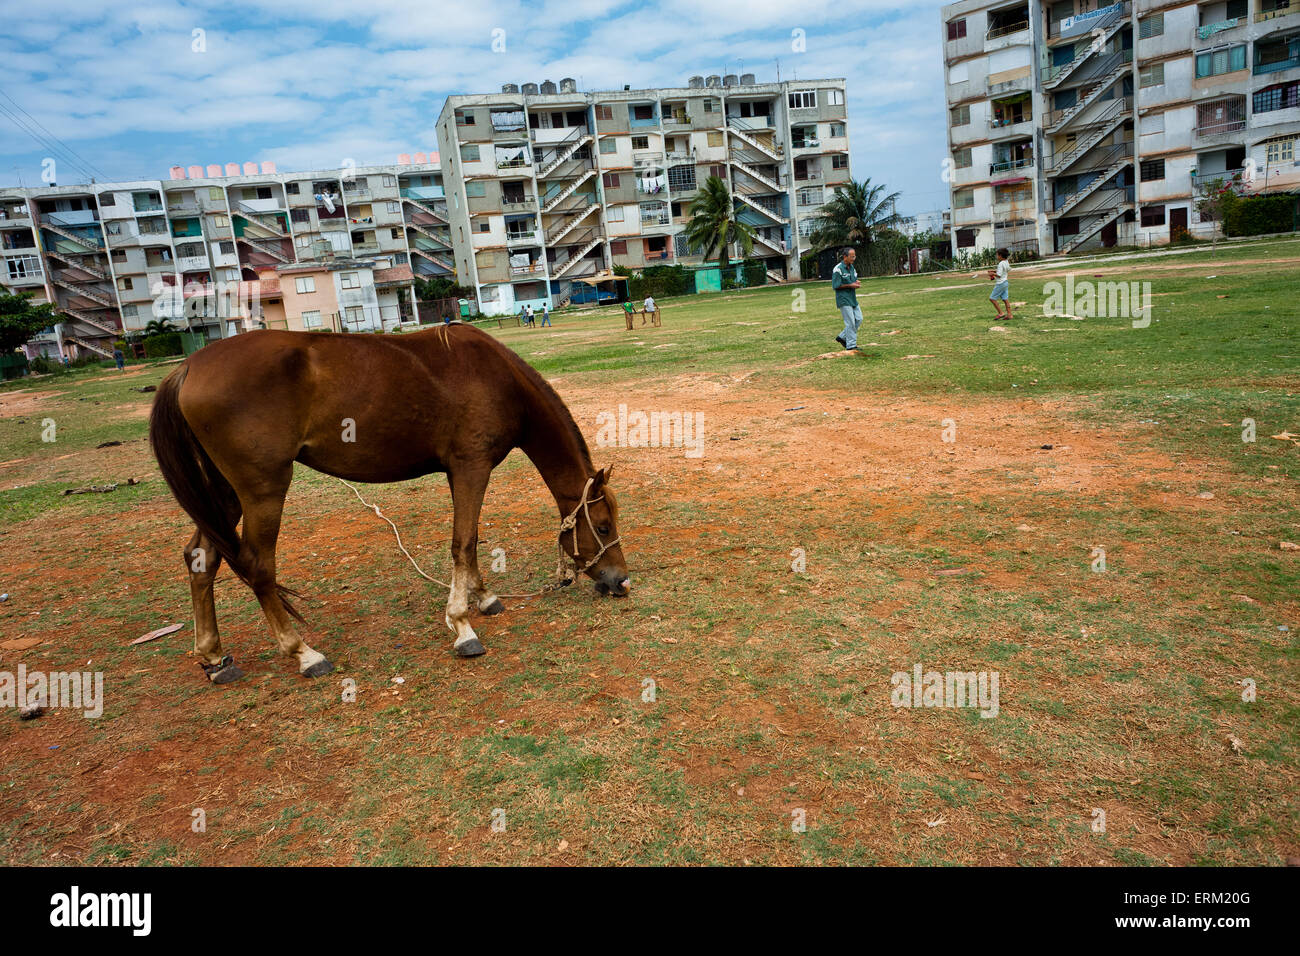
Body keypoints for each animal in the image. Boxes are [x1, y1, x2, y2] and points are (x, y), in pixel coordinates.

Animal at [148, 323, 630, 684]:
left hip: (223, 492)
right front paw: (462, 625)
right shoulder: (471, 467)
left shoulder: (459, 473)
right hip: (262, 489)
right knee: (258, 567)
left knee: (201, 558)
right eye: (603, 526)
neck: (497, 378)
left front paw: (484, 596)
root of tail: (188, 367)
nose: (621, 580)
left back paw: (215, 657)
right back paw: (303, 653)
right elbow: (463, 543)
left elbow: (469, 542)